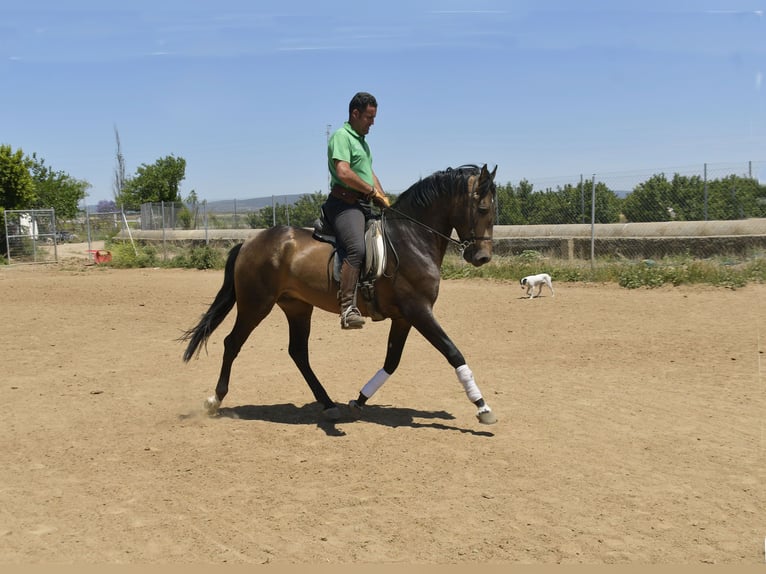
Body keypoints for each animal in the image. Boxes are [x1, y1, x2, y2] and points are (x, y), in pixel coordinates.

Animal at [183, 164, 500, 426]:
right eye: (483, 208)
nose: (482, 257)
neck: (412, 239)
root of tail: (249, 242)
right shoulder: (419, 311)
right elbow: (453, 352)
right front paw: (482, 407)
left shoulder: (404, 318)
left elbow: (392, 362)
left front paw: (359, 401)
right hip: (256, 304)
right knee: (232, 343)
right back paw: (215, 400)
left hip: (297, 307)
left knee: (298, 352)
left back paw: (327, 404)